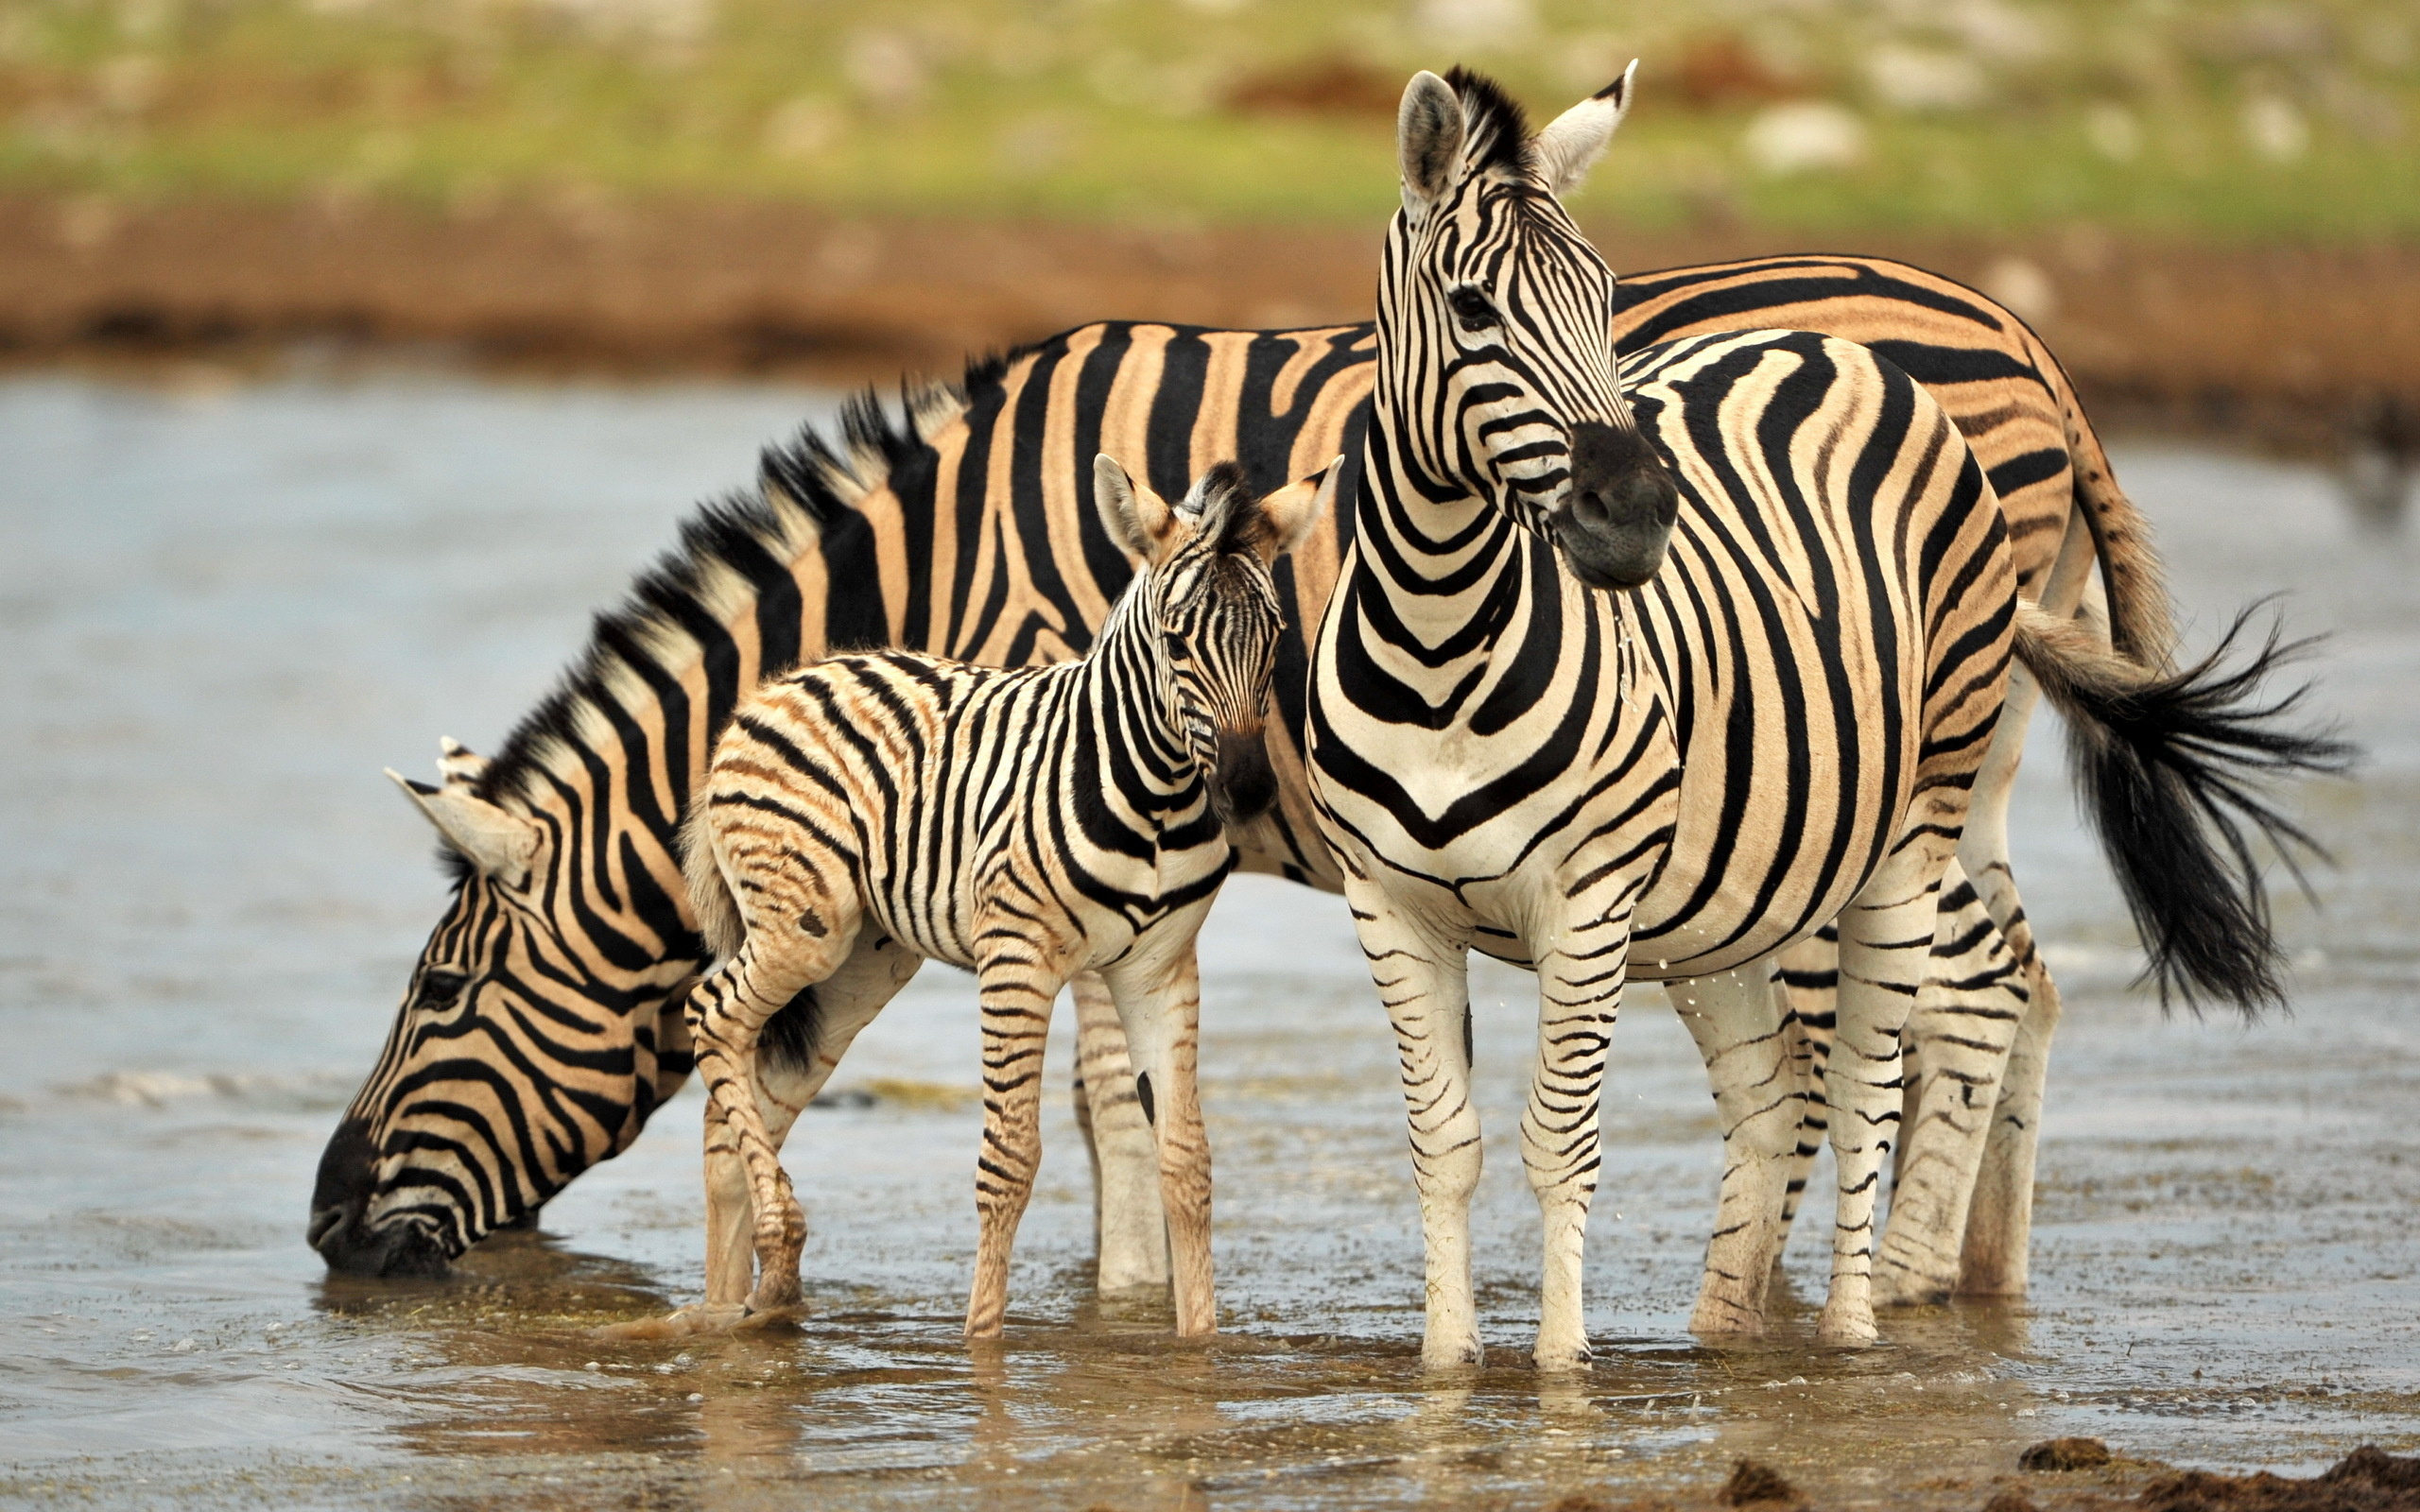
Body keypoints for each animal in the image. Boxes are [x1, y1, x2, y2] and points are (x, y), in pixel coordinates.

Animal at [667, 456, 1325, 1335]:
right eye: (1178, 640)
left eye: (1279, 635)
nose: (1250, 791)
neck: (1155, 794)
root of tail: (779, 685)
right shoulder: (1017, 956)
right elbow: (1010, 1159)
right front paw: (981, 1342)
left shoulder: (1161, 967)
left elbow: (1187, 1161)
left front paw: (1199, 1345)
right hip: (805, 927)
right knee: (711, 1015)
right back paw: (777, 1254)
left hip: (861, 960)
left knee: (741, 1084)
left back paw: (737, 1299)